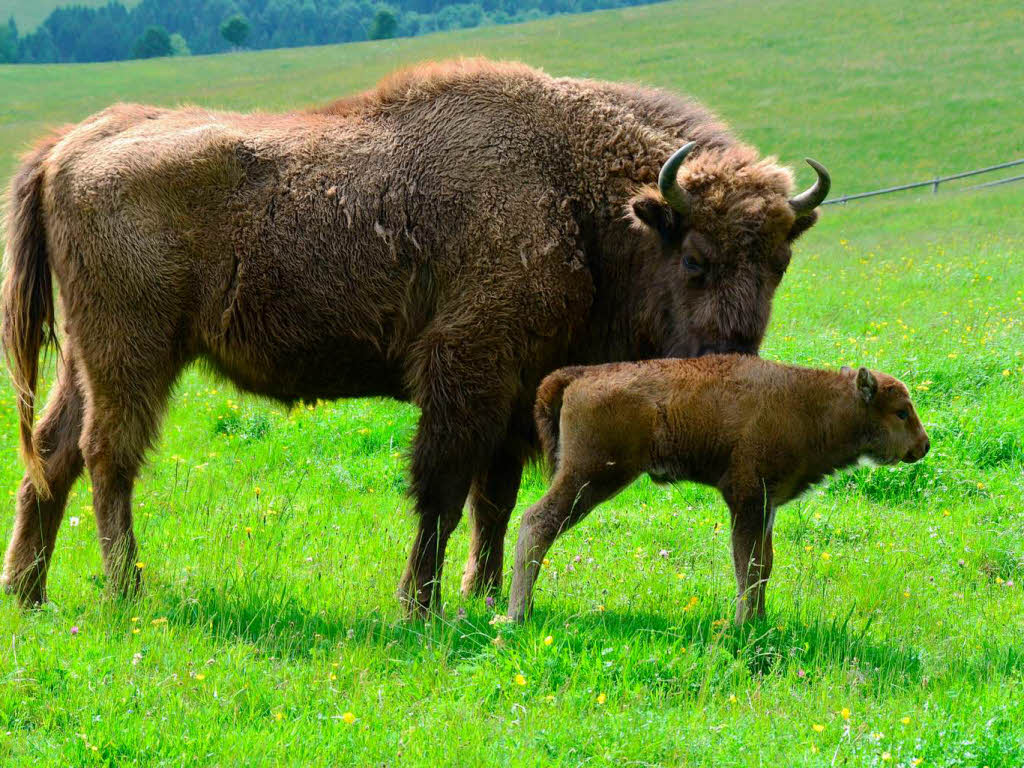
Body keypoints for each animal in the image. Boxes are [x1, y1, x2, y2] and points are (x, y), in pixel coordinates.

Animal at [0, 57, 827, 618]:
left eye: (781, 262)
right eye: (695, 258)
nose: (731, 357)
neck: (578, 193)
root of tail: (70, 145)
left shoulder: (516, 397)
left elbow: (494, 502)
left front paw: (481, 596)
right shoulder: (466, 377)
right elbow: (441, 491)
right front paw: (419, 605)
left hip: (86, 359)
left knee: (53, 451)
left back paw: (28, 592)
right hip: (134, 353)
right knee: (109, 456)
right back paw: (127, 591)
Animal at [507, 354, 933, 626]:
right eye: (900, 411)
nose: (923, 446)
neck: (810, 404)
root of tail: (577, 376)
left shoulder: (766, 505)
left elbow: (764, 563)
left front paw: (760, 620)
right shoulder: (747, 498)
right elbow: (748, 565)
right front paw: (744, 625)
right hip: (590, 476)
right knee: (537, 522)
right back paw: (517, 615)